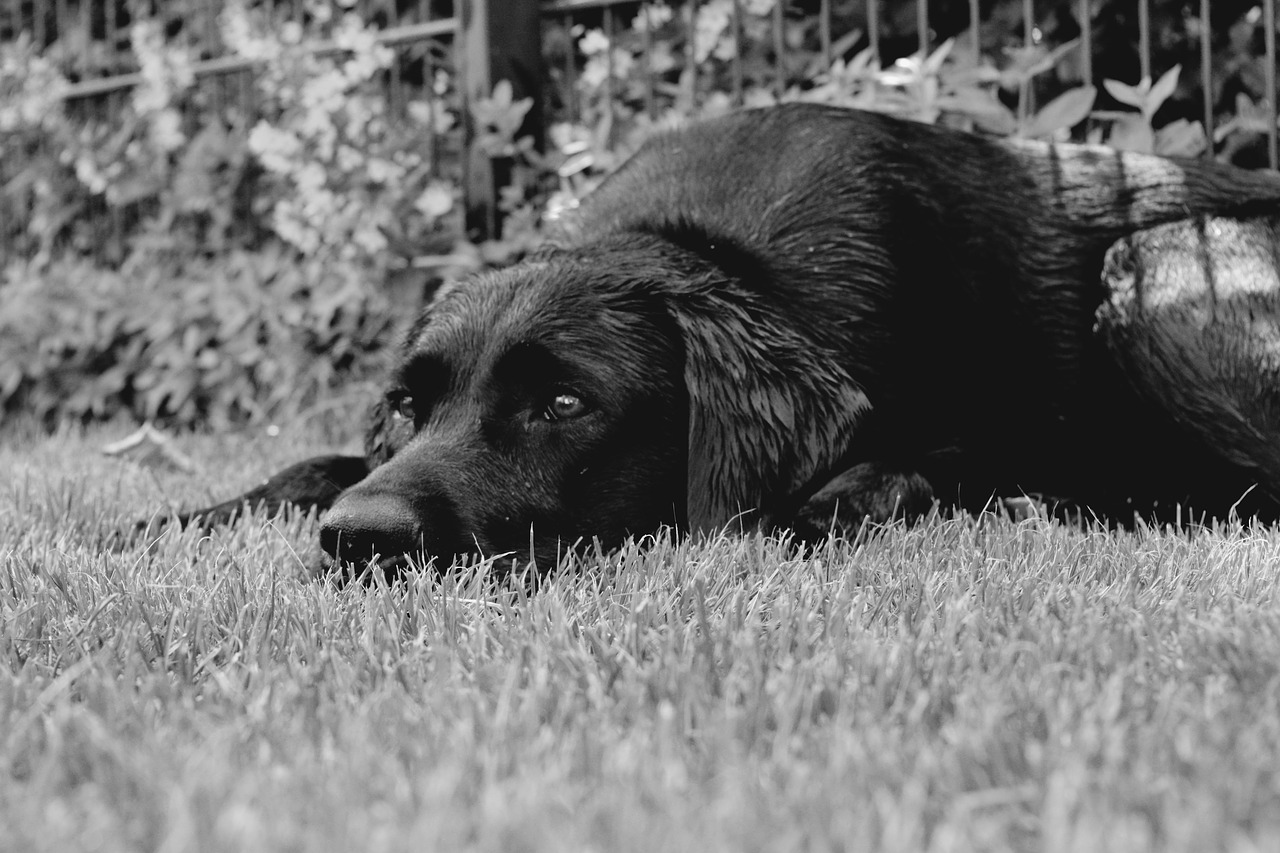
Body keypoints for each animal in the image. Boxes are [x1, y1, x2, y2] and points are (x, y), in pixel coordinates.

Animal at [162, 103, 1280, 573]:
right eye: (405, 402)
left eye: (562, 403)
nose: (361, 540)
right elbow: (309, 464)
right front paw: (163, 520)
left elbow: (915, 462)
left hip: (1153, 263)